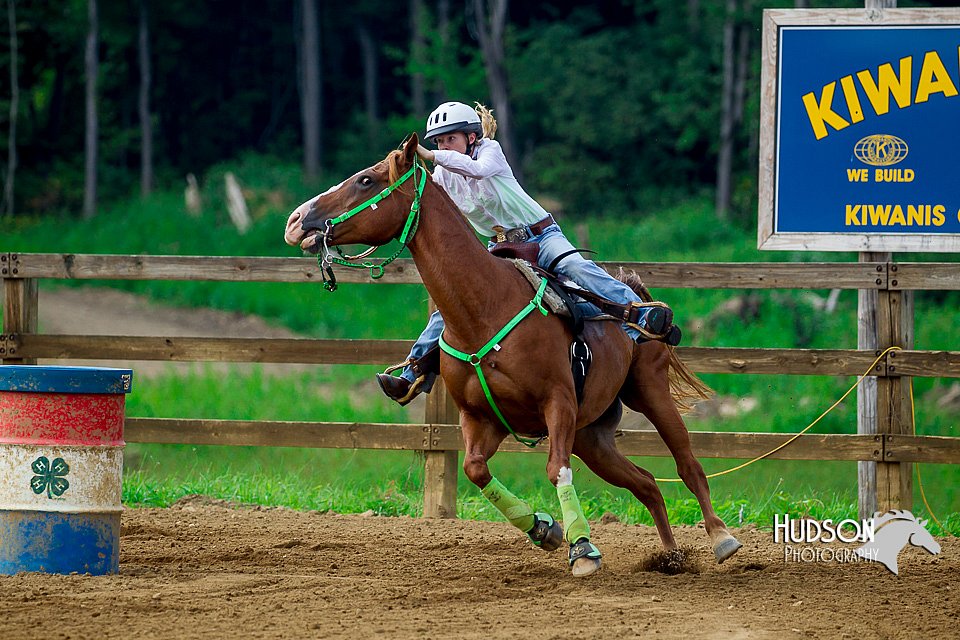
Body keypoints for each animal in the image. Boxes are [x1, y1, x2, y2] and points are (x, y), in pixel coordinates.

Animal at [284, 134, 744, 576]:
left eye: (366, 180)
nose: (295, 221)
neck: (486, 307)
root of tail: (634, 291)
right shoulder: (479, 418)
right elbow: (475, 470)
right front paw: (544, 529)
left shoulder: (557, 402)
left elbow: (556, 469)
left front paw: (582, 549)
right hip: (591, 436)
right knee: (646, 482)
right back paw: (670, 558)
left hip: (648, 391)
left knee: (688, 465)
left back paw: (721, 538)